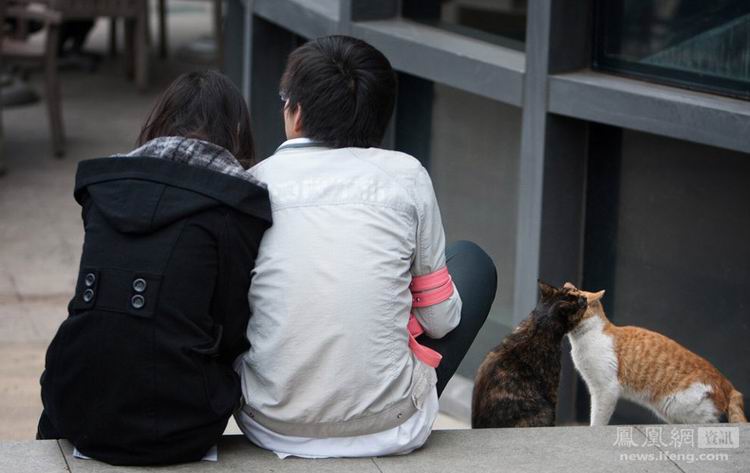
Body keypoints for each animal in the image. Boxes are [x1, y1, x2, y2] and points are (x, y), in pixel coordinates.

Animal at [471, 281, 587, 428]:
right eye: (577, 301)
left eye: (575, 291)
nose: (585, 298)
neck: (537, 327)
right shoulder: (552, 389)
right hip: (545, 411)